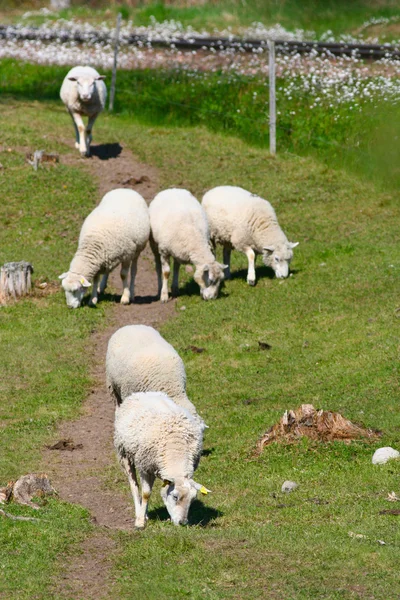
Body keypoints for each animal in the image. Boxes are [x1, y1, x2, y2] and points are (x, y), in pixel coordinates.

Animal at [114, 392, 211, 528]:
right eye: (175, 497)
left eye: (192, 499)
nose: (183, 523)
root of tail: (143, 393)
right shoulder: (144, 467)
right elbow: (146, 494)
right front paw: (140, 522)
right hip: (124, 453)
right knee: (134, 486)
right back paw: (139, 512)